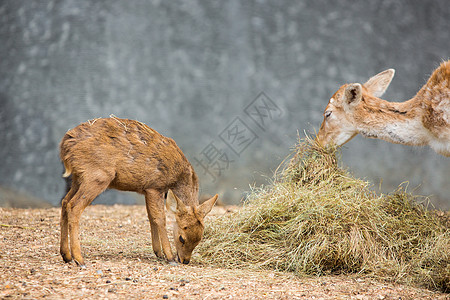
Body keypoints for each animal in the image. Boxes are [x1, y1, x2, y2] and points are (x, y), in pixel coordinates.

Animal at [59, 117, 218, 268]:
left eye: (200, 238)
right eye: (181, 238)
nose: (185, 260)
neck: (177, 174)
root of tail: (65, 144)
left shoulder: (147, 190)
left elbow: (151, 217)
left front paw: (158, 252)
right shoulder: (155, 187)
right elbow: (160, 218)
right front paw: (169, 257)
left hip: (78, 177)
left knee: (65, 202)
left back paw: (66, 256)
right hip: (97, 175)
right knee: (74, 206)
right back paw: (79, 259)